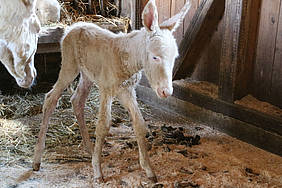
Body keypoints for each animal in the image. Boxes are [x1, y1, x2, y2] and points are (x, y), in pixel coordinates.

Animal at [33, 0, 192, 183]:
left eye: (175, 57)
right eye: (154, 57)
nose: (166, 91)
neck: (129, 59)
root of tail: (72, 27)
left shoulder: (127, 90)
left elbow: (139, 124)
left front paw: (149, 170)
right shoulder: (107, 89)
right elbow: (103, 125)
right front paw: (98, 172)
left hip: (87, 74)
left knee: (77, 100)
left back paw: (90, 149)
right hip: (69, 65)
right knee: (50, 98)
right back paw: (37, 159)